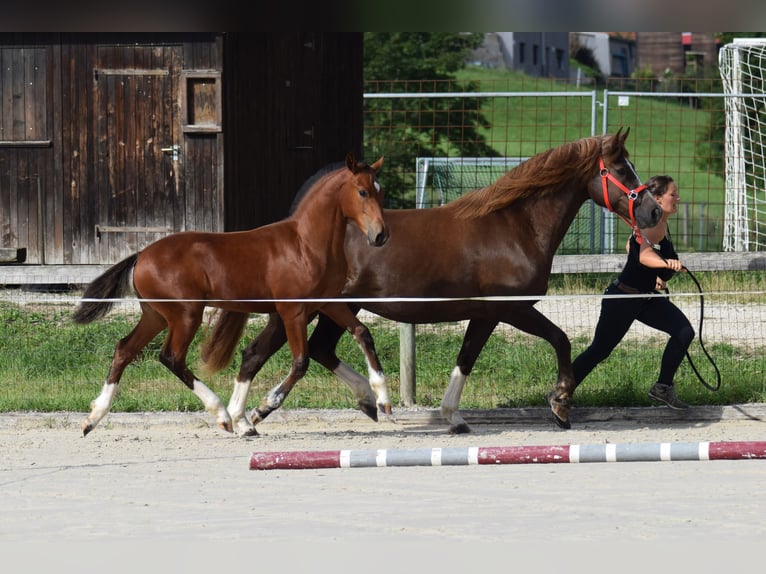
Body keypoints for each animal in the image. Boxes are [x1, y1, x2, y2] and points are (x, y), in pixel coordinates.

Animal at [71, 153, 390, 436]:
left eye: (380, 191)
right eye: (362, 191)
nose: (381, 235)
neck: (306, 245)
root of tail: (140, 256)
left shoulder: (329, 302)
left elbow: (363, 334)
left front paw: (380, 400)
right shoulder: (293, 311)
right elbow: (301, 362)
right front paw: (262, 408)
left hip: (156, 316)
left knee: (124, 350)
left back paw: (92, 419)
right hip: (186, 315)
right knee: (171, 357)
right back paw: (223, 415)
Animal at [219, 129, 664, 436]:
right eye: (621, 170)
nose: (654, 211)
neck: (514, 226)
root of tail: (295, 228)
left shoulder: (486, 314)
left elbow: (465, 359)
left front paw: (453, 417)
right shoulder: (511, 309)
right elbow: (560, 340)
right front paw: (560, 403)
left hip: (334, 309)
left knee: (311, 349)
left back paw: (355, 402)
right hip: (301, 309)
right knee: (263, 353)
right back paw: (250, 416)